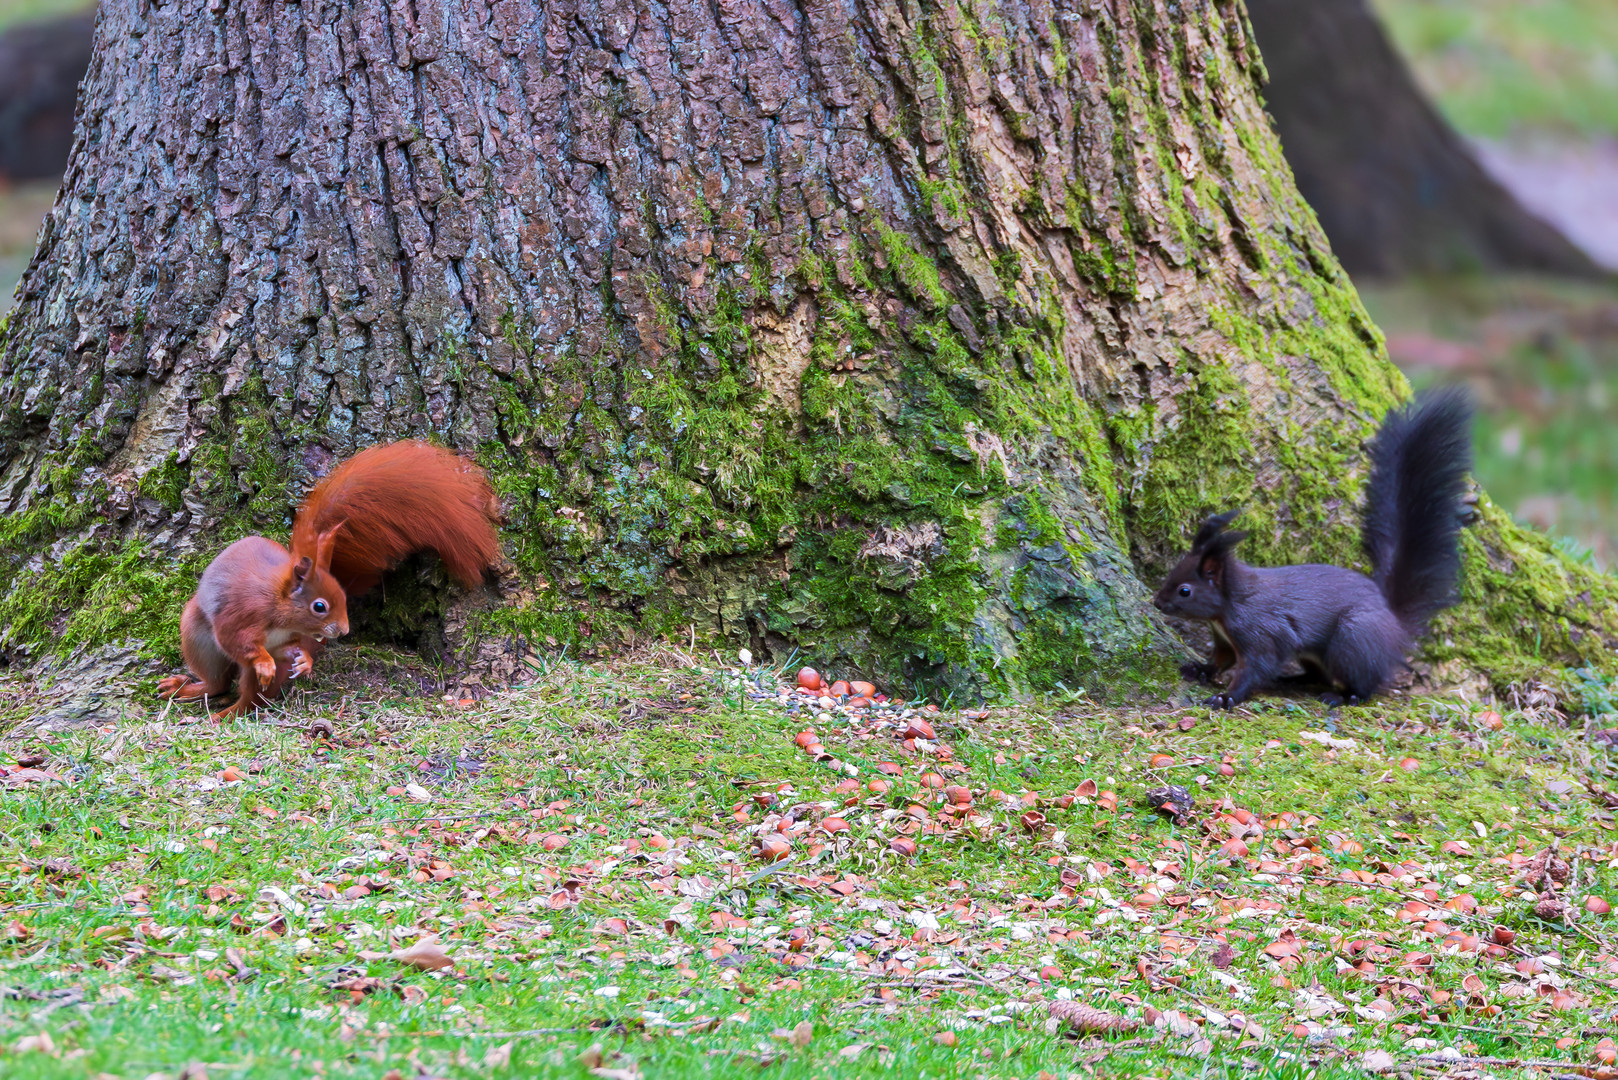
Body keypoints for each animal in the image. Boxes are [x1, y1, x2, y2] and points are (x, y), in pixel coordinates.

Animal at [158, 440, 501, 718]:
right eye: (319, 606)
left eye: (343, 597)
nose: (344, 630)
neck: (280, 606)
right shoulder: (241, 614)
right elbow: (238, 642)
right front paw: (264, 661)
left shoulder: (291, 639)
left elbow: (291, 651)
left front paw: (305, 662)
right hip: (198, 635)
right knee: (218, 681)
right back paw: (199, 696)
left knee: (245, 694)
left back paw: (226, 709)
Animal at [1152, 388, 1482, 709]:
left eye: (1184, 591)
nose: (1157, 603)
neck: (1229, 605)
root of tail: (1394, 624)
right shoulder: (1224, 639)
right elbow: (1222, 660)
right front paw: (1201, 669)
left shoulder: (1261, 631)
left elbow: (1257, 667)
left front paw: (1227, 697)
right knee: (1320, 674)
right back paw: (1296, 680)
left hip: (1353, 638)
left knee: (1365, 683)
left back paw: (1343, 696)